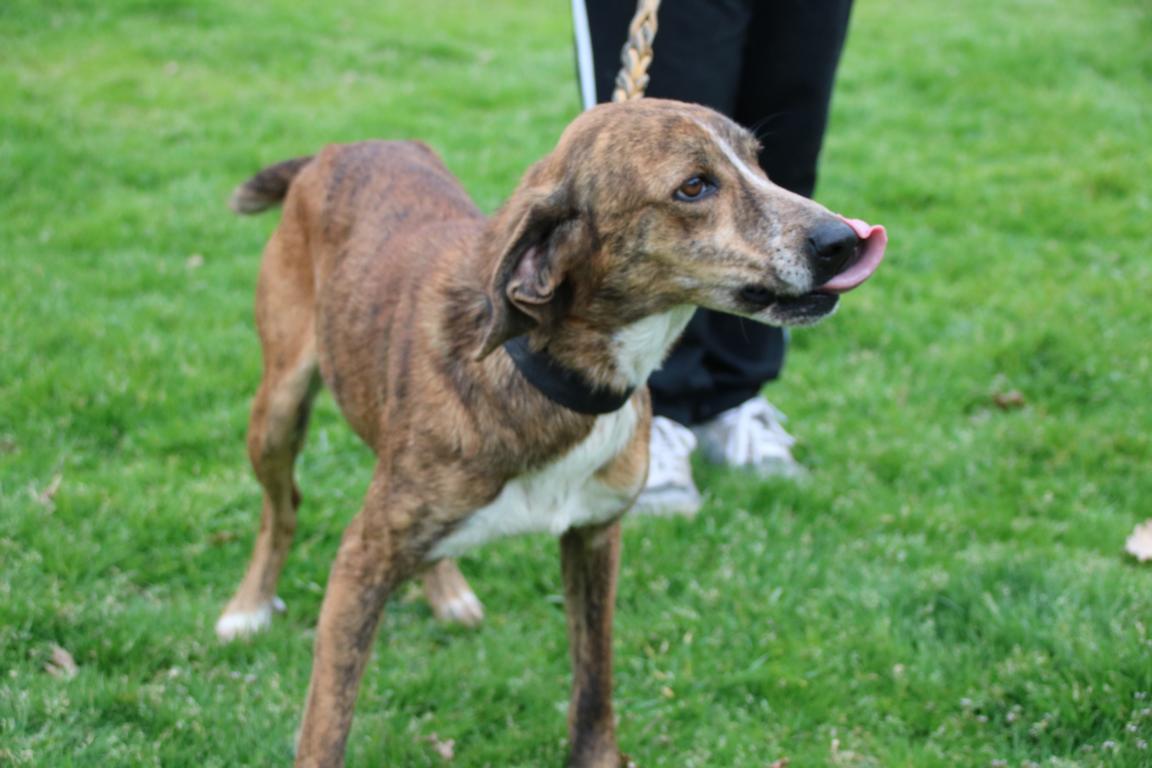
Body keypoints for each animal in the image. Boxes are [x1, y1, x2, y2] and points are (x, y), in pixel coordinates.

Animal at [216, 98, 886, 767]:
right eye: (693, 187)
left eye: (758, 160)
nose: (844, 240)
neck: (558, 379)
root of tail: (340, 148)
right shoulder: (361, 564)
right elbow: (325, 726)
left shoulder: (595, 536)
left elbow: (594, 681)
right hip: (277, 410)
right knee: (282, 507)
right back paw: (248, 607)